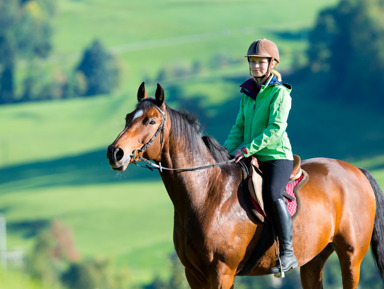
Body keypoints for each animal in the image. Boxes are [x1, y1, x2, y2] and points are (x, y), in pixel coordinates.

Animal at [106, 82, 384, 286]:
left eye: (151, 121)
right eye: (128, 117)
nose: (115, 153)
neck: (208, 194)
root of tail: (357, 171)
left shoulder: (221, 271)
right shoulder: (193, 274)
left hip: (351, 257)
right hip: (313, 260)